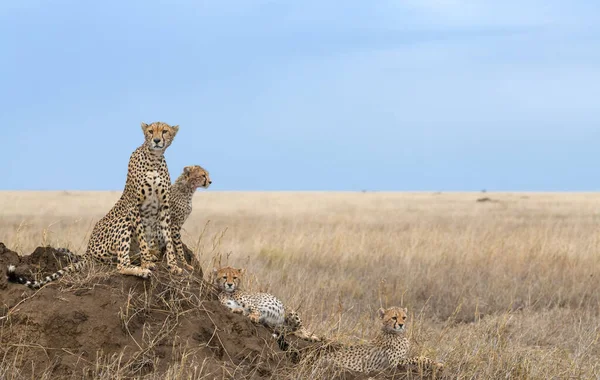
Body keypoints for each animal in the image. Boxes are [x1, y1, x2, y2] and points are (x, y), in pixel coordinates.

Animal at [7, 121, 183, 288]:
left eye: (164, 131)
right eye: (151, 131)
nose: (157, 140)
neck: (154, 159)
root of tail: (88, 251)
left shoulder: (164, 207)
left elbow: (168, 238)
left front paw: (173, 266)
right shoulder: (134, 206)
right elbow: (142, 238)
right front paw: (146, 262)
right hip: (123, 222)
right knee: (121, 265)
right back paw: (142, 270)